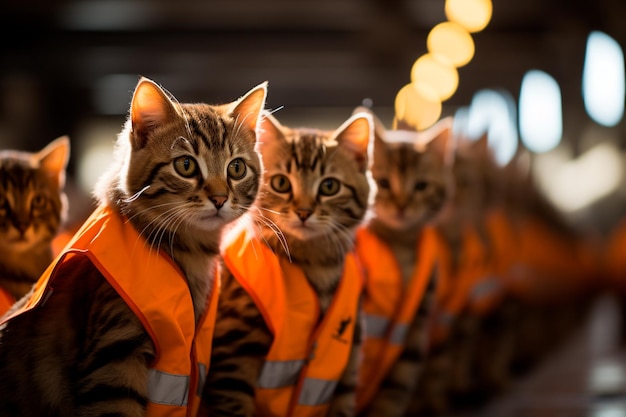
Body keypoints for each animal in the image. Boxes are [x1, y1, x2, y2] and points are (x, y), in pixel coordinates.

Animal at [202, 109, 372, 414]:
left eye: (329, 186)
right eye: (281, 183)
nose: (303, 212)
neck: (314, 261)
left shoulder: (348, 363)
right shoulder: (234, 354)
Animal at [354, 110, 450, 416]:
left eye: (420, 186)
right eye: (383, 183)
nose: (402, 206)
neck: (400, 247)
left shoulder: (416, 319)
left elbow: (397, 387)